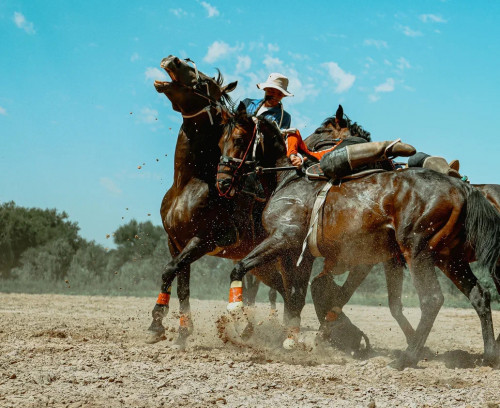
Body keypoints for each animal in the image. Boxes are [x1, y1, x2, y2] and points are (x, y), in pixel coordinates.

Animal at [147, 55, 286, 346]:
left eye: (202, 83)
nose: (173, 59)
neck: (188, 184)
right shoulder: (175, 243)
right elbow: (182, 285)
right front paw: (180, 331)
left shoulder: (207, 240)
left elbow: (168, 270)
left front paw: (158, 323)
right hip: (262, 266)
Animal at [218, 103, 500, 370]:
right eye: (221, 141)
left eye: (239, 139)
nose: (222, 182)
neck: (292, 180)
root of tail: (460, 187)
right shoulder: (301, 255)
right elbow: (296, 297)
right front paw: (293, 340)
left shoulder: (283, 239)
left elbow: (240, 268)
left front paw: (236, 314)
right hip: (448, 259)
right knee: (479, 295)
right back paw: (489, 355)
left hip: (418, 252)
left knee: (432, 300)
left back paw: (406, 357)